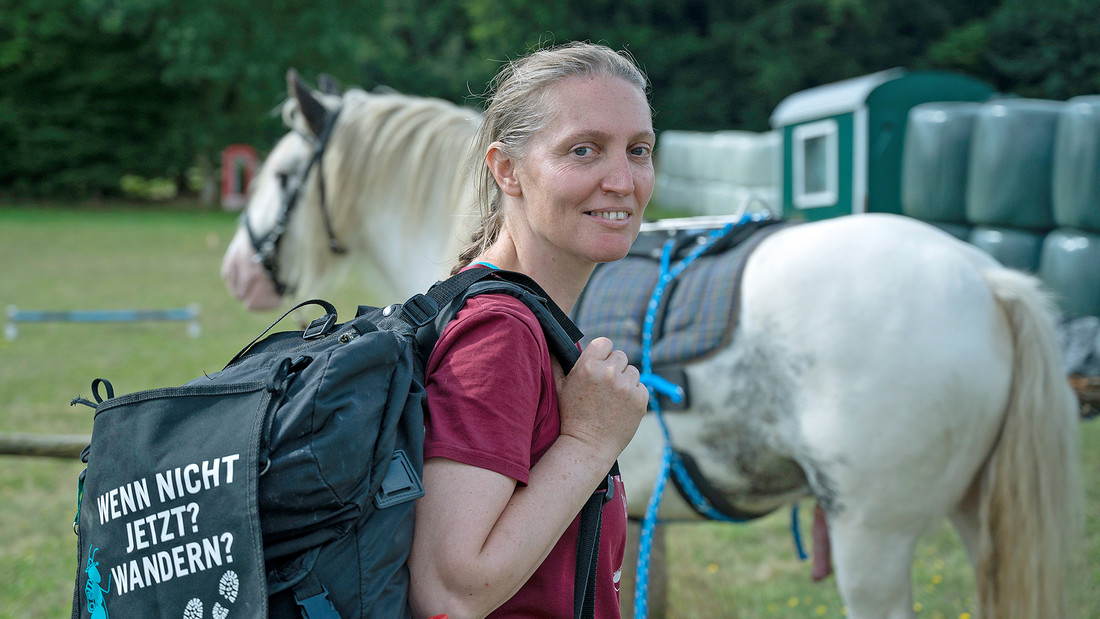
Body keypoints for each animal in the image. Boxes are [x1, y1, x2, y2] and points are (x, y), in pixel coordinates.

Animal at [221, 73, 1082, 619]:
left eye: (284, 174)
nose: (236, 270)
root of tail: (985, 278)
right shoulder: (633, 518)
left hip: (877, 537)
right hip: (976, 517)